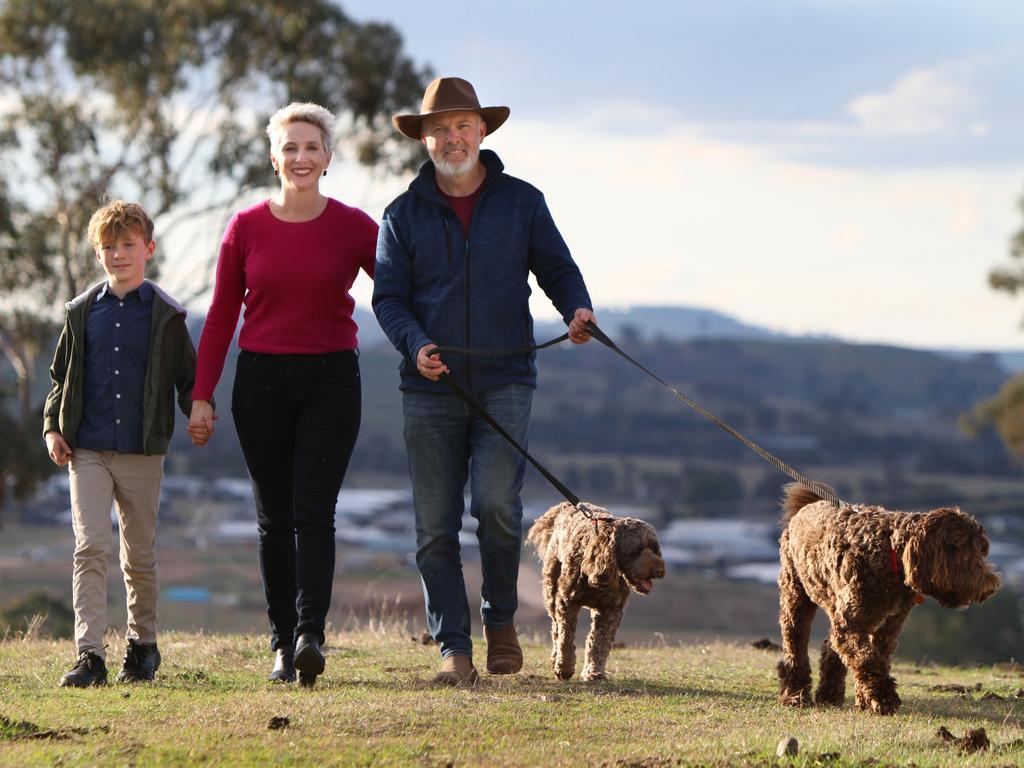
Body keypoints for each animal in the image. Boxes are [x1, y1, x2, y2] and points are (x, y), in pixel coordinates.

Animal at [528, 505, 663, 679]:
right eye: (635, 551)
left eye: (655, 549)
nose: (659, 571)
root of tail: (565, 506)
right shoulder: (567, 602)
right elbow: (566, 638)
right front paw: (564, 668)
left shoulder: (611, 609)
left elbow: (599, 642)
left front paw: (594, 672)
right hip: (551, 590)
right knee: (556, 629)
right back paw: (555, 658)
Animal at [774, 483, 999, 720]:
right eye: (965, 550)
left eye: (981, 550)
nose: (991, 587)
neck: (889, 551)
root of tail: (810, 504)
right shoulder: (854, 623)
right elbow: (867, 660)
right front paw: (884, 699)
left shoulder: (888, 626)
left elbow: (876, 659)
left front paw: (867, 702)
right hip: (796, 596)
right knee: (796, 645)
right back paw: (795, 696)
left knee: (831, 645)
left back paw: (829, 695)